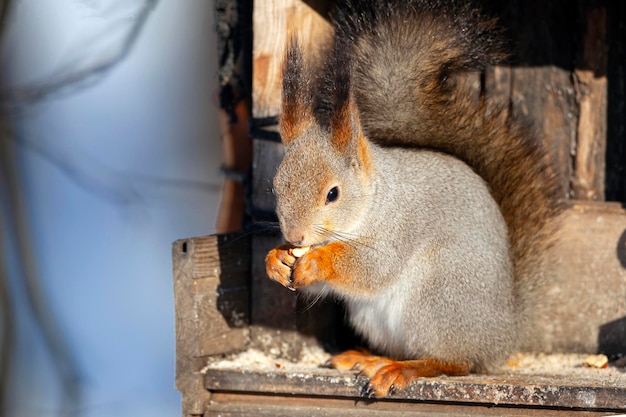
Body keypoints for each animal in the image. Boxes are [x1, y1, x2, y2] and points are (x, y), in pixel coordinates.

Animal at [264, 0, 560, 396]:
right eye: (275, 187)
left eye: (333, 193)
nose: (295, 237)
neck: (374, 200)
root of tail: (502, 335)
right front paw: (276, 260)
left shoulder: (398, 229)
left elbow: (373, 268)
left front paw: (315, 262)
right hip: (374, 317)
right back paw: (368, 358)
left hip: (436, 297)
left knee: (455, 362)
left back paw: (403, 370)